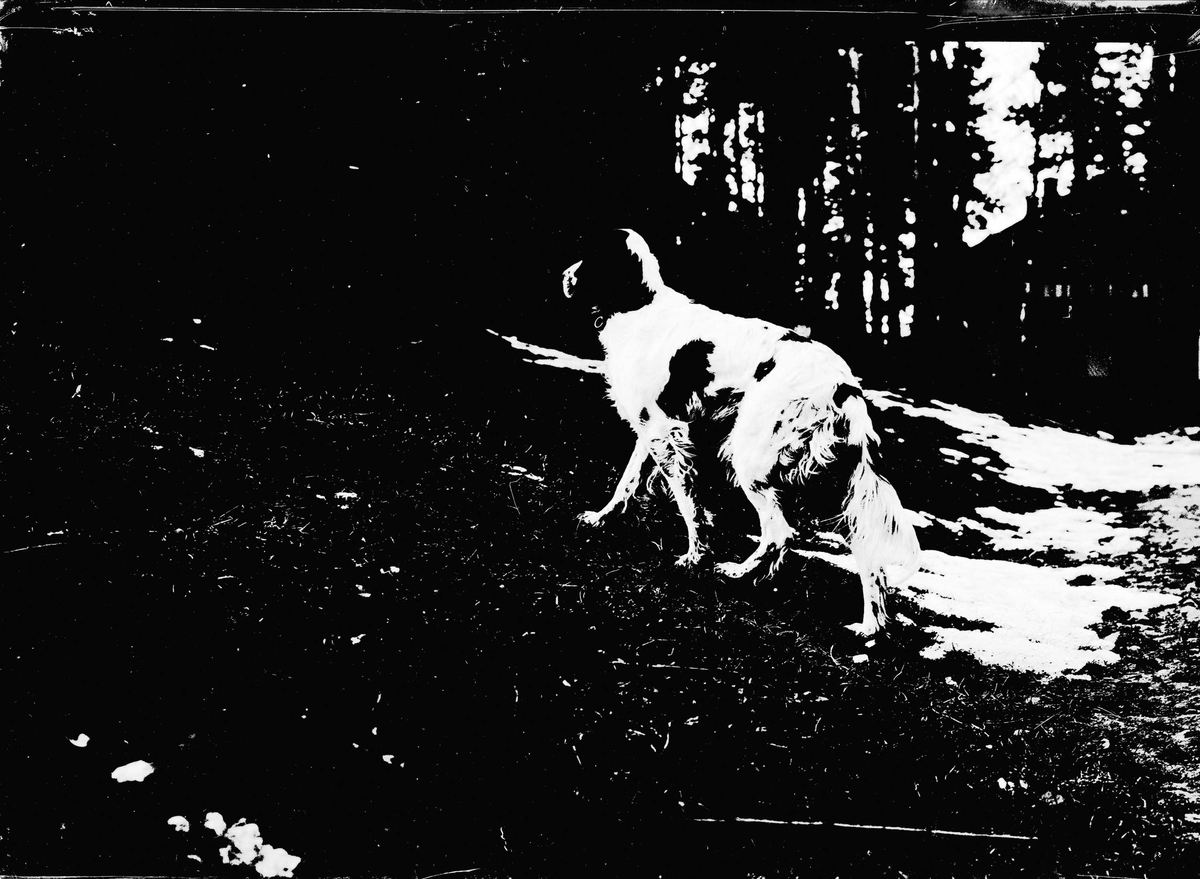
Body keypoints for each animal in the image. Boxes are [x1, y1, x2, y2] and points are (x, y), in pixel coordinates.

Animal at [561, 230, 916, 634]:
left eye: (586, 252)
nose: (564, 276)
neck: (639, 306)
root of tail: (844, 386)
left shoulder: (667, 433)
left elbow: (689, 506)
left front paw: (693, 558)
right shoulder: (651, 429)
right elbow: (628, 483)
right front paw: (600, 519)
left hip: (750, 459)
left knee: (780, 533)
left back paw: (738, 573)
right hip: (841, 484)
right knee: (869, 559)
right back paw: (870, 628)